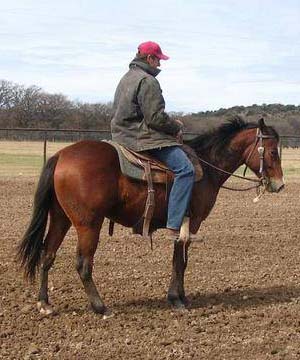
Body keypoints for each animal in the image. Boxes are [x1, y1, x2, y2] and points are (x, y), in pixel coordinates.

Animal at [17, 116, 284, 316]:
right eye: (273, 152)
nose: (279, 185)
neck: (207, 166)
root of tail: (60, 155)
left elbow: (181, 260)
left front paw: (182, 296)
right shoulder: (192, 222)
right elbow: (180, 260)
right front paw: (177, 299)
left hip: (60, 218)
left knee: (47, 254)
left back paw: (45, 304)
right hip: (88, 224)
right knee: (83, 264)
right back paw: (100, 307)